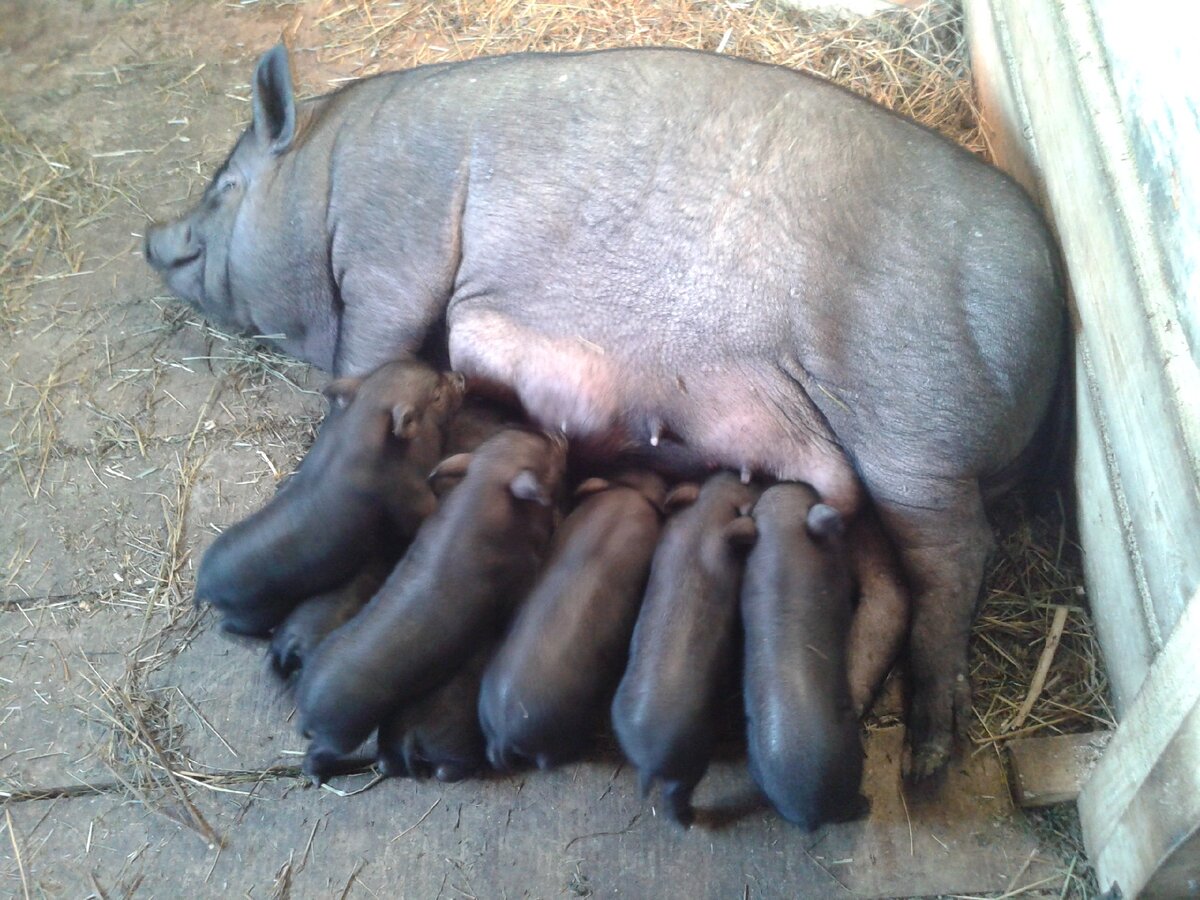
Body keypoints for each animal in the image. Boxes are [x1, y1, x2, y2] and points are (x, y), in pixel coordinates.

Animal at [142, 45, 1070, 777]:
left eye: (226, 187)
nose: (152, 237)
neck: (327, 182)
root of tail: (1055, 304)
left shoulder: (390, 260)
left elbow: (366, 365)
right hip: (854, 469)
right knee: (887, 579)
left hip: (915, 436)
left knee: (957, 559)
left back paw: (927, 759)